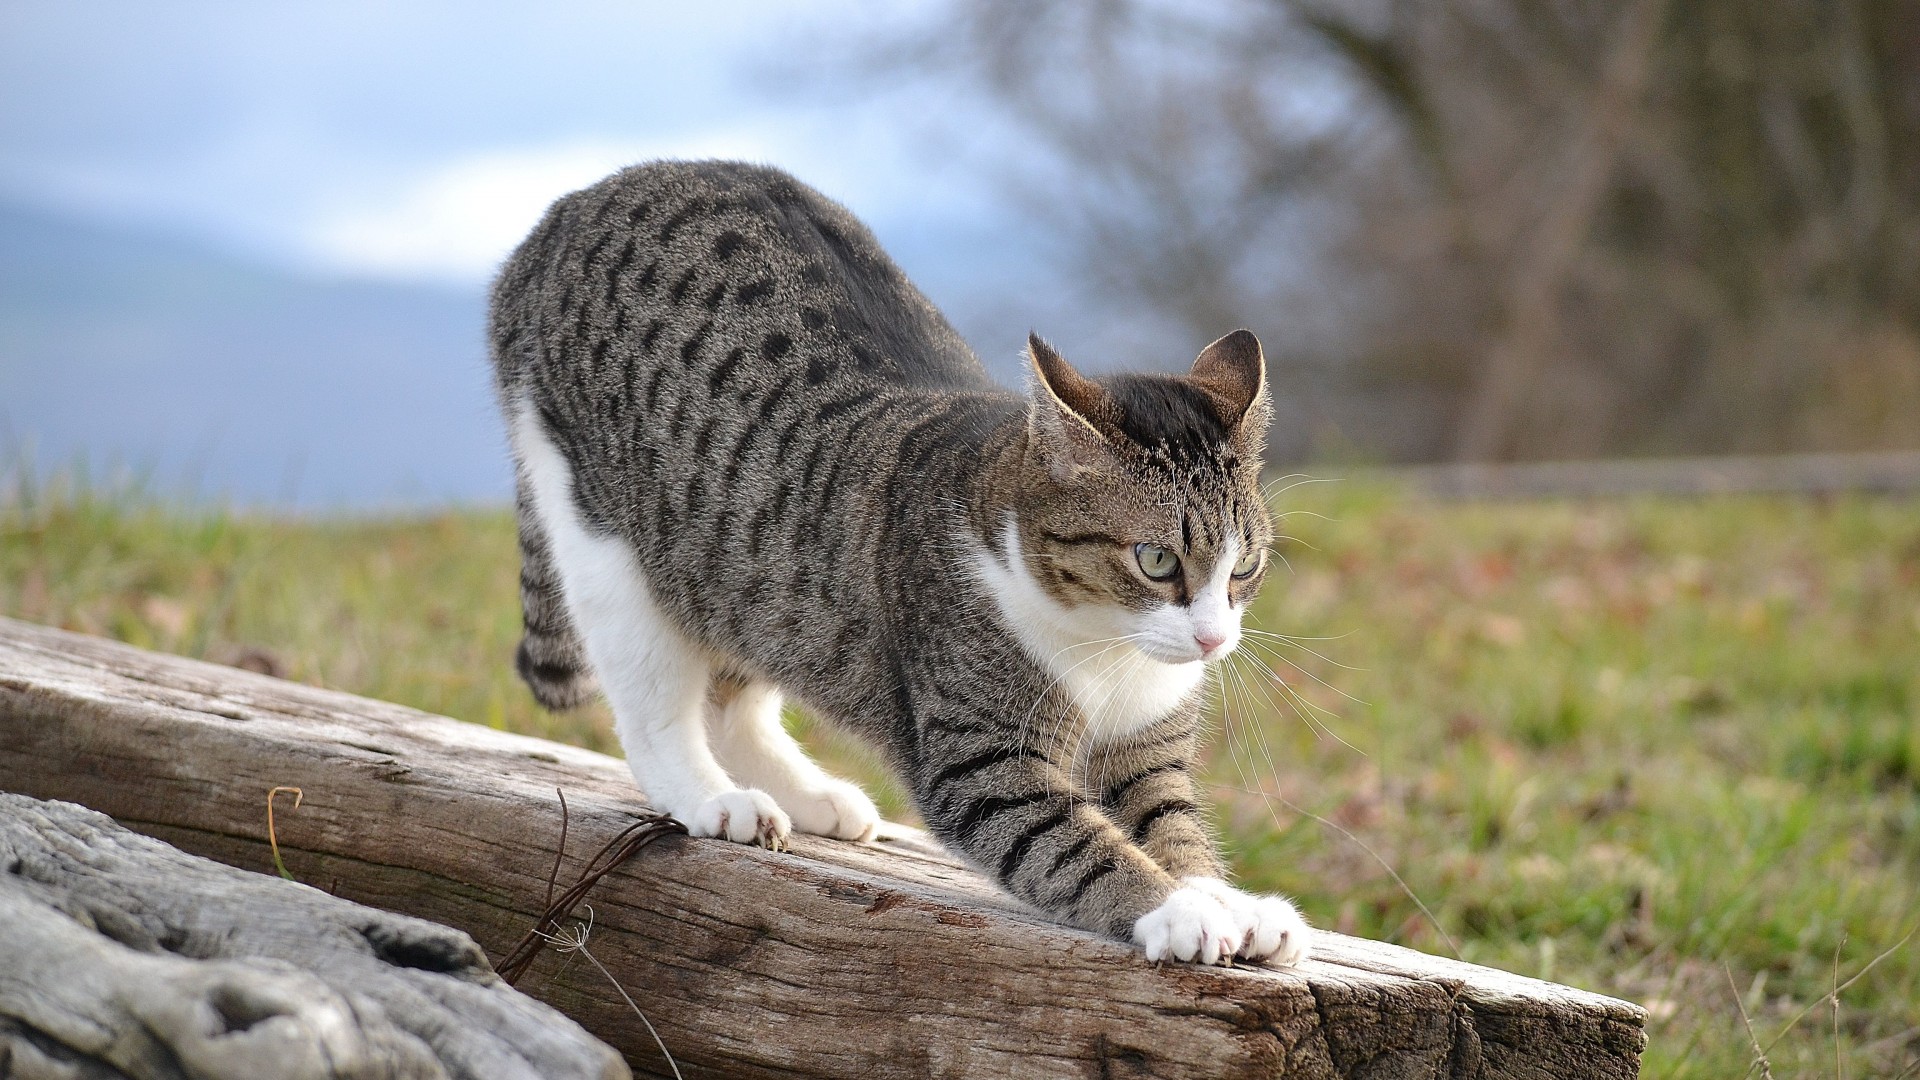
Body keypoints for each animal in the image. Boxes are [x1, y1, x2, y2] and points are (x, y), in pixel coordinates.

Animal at [487, 159, 1313, 968]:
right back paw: (714, 799)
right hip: (604, 533)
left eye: (1244, 568)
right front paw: (1178, 910)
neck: (1106, 649)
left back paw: (812, 796)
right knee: (653, 702)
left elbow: (1173, 831)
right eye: (1156, 559)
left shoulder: (1145, 757)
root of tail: (571, 206)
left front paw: (1232, 903)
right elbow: (1083, 849)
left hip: (754, 570)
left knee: (738, 686)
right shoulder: (983, 763)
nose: (1213, 640)